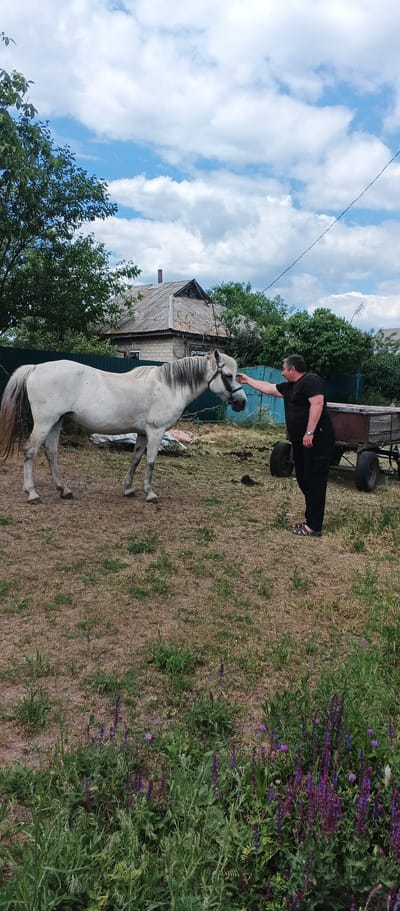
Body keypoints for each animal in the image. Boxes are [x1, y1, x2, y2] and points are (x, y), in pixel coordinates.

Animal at [0, 350, 247, 504]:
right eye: (228, 375)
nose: (241, 402)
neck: (167, 387)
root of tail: (35, 368)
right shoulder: (156, 432)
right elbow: (150, 462)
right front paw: (150, 493)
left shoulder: (143, 433)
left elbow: (136, 459)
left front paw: (128, 489)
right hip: (45, 422)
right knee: (30, 451)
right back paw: (32, 494)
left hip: (56, 422)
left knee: (51, 453)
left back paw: (64, 490)